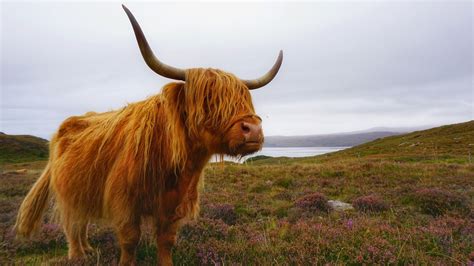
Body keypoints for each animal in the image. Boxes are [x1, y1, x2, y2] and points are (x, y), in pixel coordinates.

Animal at [13, 4, 282, 266]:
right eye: (207, 98)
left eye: (245, 98)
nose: (253, 129)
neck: (174, 169)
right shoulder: (124, 203)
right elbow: (130, 239)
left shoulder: (173, 207)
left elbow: (166, 240)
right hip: (68, 191)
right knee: (72, 223)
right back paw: (77, 255)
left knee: (82, 221)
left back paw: (88, 249)